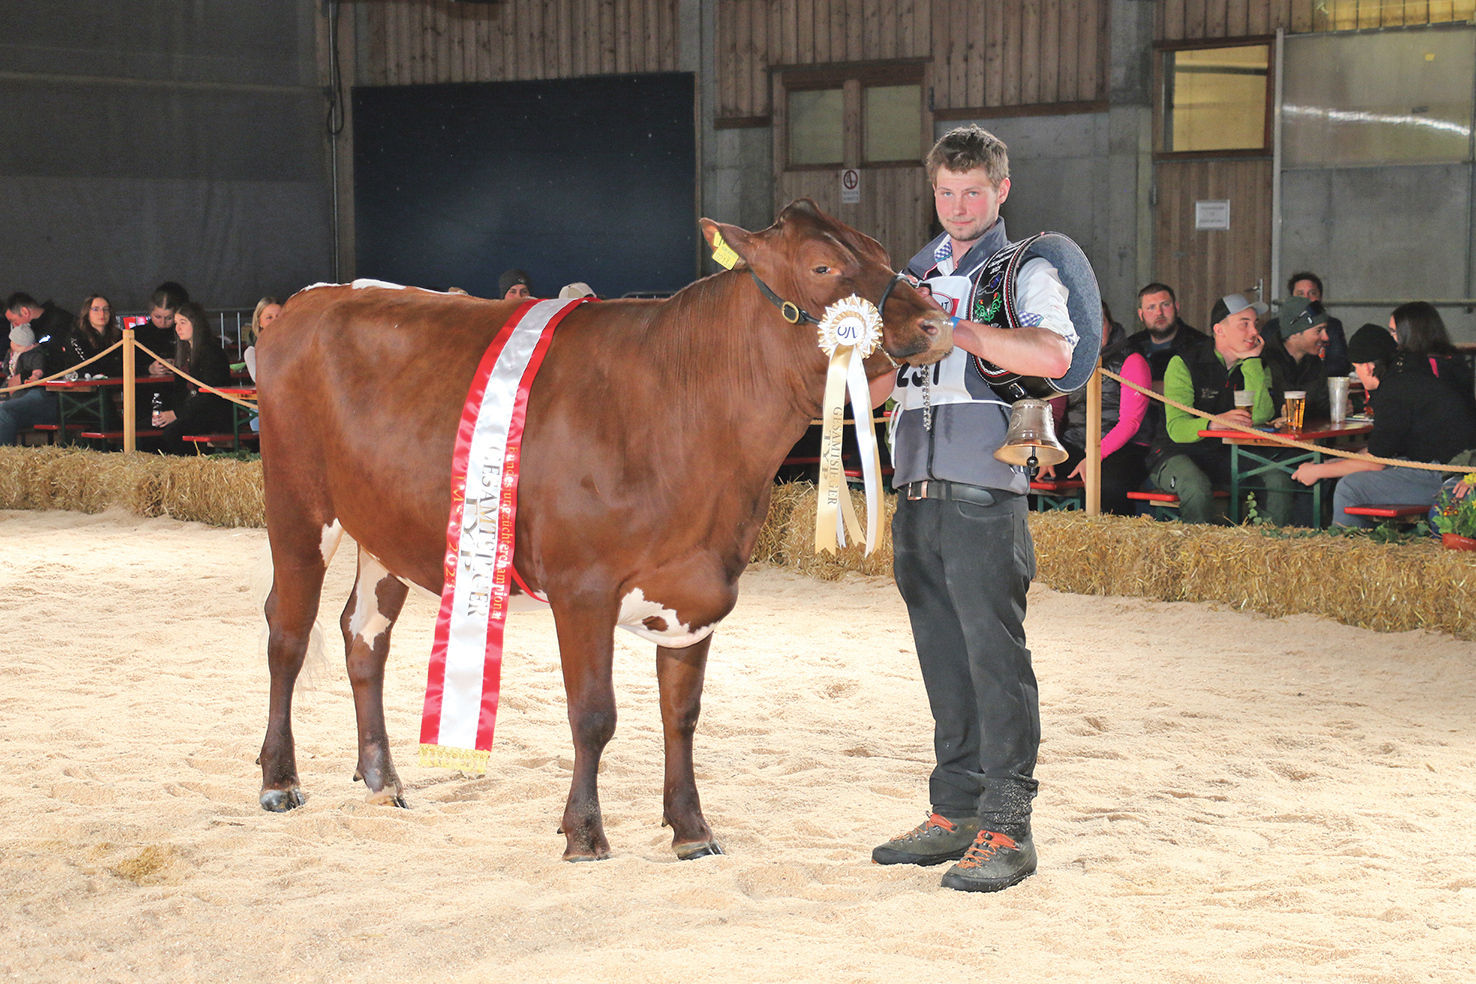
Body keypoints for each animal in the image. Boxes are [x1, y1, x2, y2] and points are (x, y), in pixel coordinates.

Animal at [258, 202, 950, 861]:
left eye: (880, 250)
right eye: (821, 267)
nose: (937, 324)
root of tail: (311, 298)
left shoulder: (698, 585)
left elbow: (681, 714)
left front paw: (691, 829)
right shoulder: (582, 588)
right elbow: (593, 714)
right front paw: (585, 834)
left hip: (381, 529)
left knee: (364, 635)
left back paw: (382, 779)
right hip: (297, 506)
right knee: (288, 633)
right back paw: (280, 780)